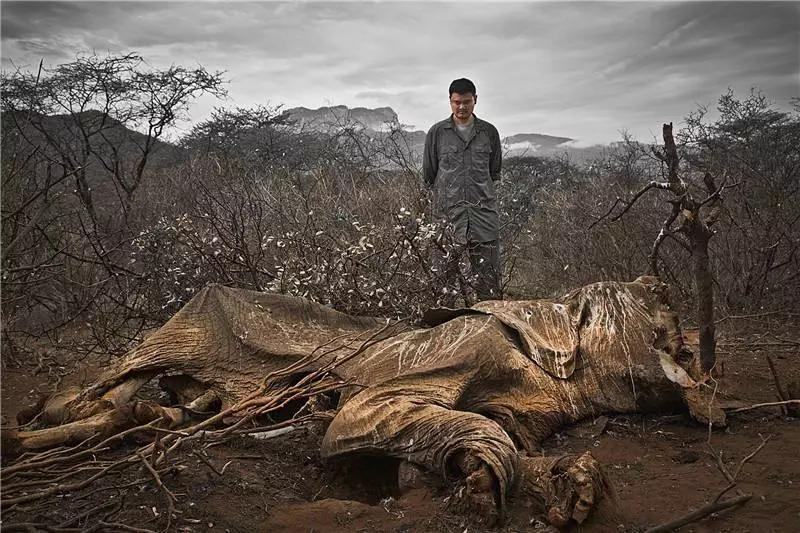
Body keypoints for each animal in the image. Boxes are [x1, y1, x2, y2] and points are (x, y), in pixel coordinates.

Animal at [4, 276, 708, 524]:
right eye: (657, 314)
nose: (694, 346)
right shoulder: (460, 345)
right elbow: (360, 416)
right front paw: (486, 474)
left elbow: (510, 436)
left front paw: (567, 486)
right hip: (191, 320)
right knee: (110, 379)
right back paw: (39, 418)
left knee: (156, 410)